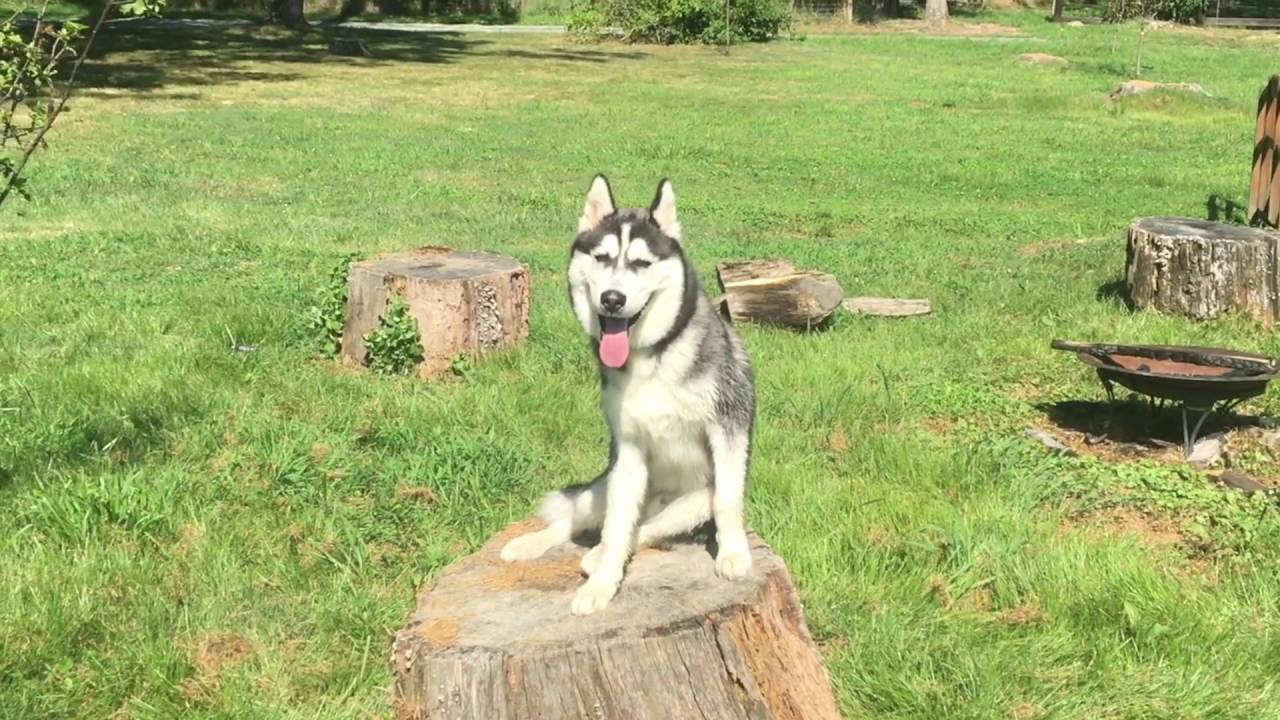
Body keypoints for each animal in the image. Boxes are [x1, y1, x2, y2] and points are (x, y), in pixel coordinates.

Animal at [499, 174, 752, 609]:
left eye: (641, 263)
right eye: (602, 258)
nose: (612, 299)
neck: (655, 356)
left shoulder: (728, 426)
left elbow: (727, 500)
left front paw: (733, 554)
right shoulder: (628, 449)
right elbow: (616, 527)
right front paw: (601, 585)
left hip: (689, 504)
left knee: (647, 528)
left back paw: (594, 555)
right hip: (604, 486)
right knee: (583, 519)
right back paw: (534, 544)